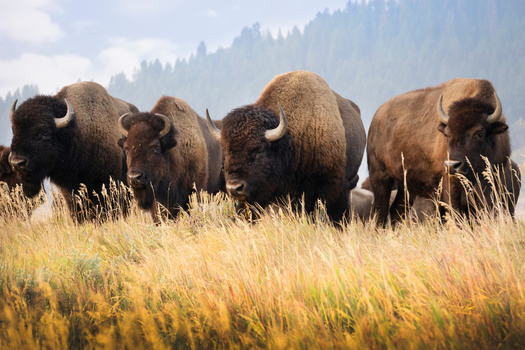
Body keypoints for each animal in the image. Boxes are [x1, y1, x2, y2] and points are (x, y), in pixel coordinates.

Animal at [9, 80, 139, 220]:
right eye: (14, 130)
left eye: (45, 133)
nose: (17, 162)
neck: (78, 132)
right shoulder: (70, 193)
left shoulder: (109, 186)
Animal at [366, 77, 520, 226]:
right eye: (447, 133)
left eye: (480, 133)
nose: (452, 165)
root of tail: (376, 117)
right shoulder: (450, 183)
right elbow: (455, 213)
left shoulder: (490, 180)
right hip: (380, 176)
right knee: (379, 212)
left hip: (406, 186)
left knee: (396, 212)